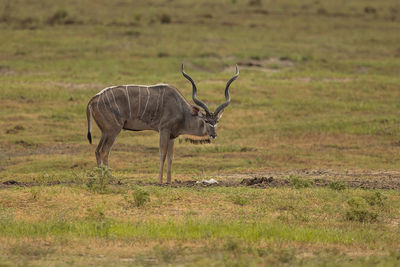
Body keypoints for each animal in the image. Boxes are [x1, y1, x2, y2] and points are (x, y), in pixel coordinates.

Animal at [86, 65, 239, 183]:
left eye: (217, 121)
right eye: (206, 121)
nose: (213, 135)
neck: (181, 110)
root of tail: (93, 99)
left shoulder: (172, 136)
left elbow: (171, 157)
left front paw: (169, 181)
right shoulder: (164, 130)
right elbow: (163, 154)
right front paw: (160, 181)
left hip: (105, 132)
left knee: (97, 150)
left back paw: (101, 177)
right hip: (113, 130)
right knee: (105, 151)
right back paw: (110, 179)